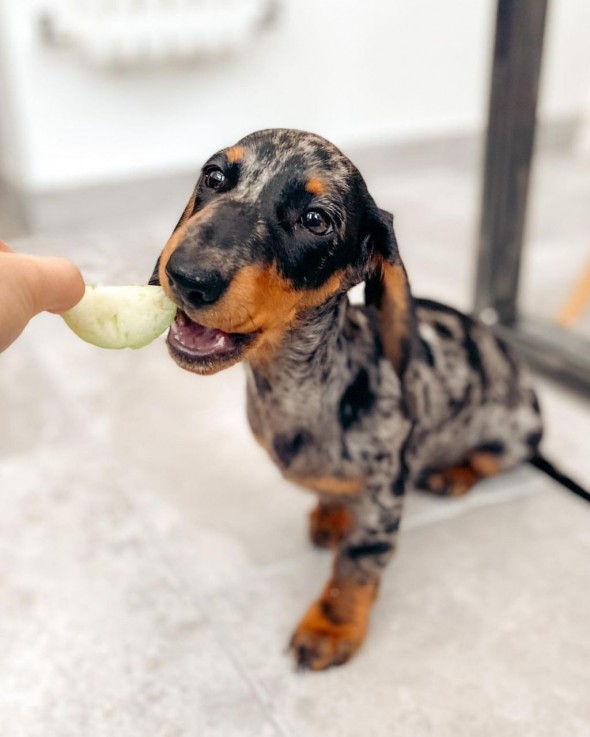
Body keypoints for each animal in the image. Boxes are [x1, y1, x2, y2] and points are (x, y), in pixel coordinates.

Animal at [151, 129, 544, 668]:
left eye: (316, 220)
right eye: (213, 176)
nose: (188, 276)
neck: (300, 387)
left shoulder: (385, 493)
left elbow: (355, 564)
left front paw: (332, 624)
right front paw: (333, 511)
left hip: (518, 432)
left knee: (490, 459)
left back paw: (454, 473)